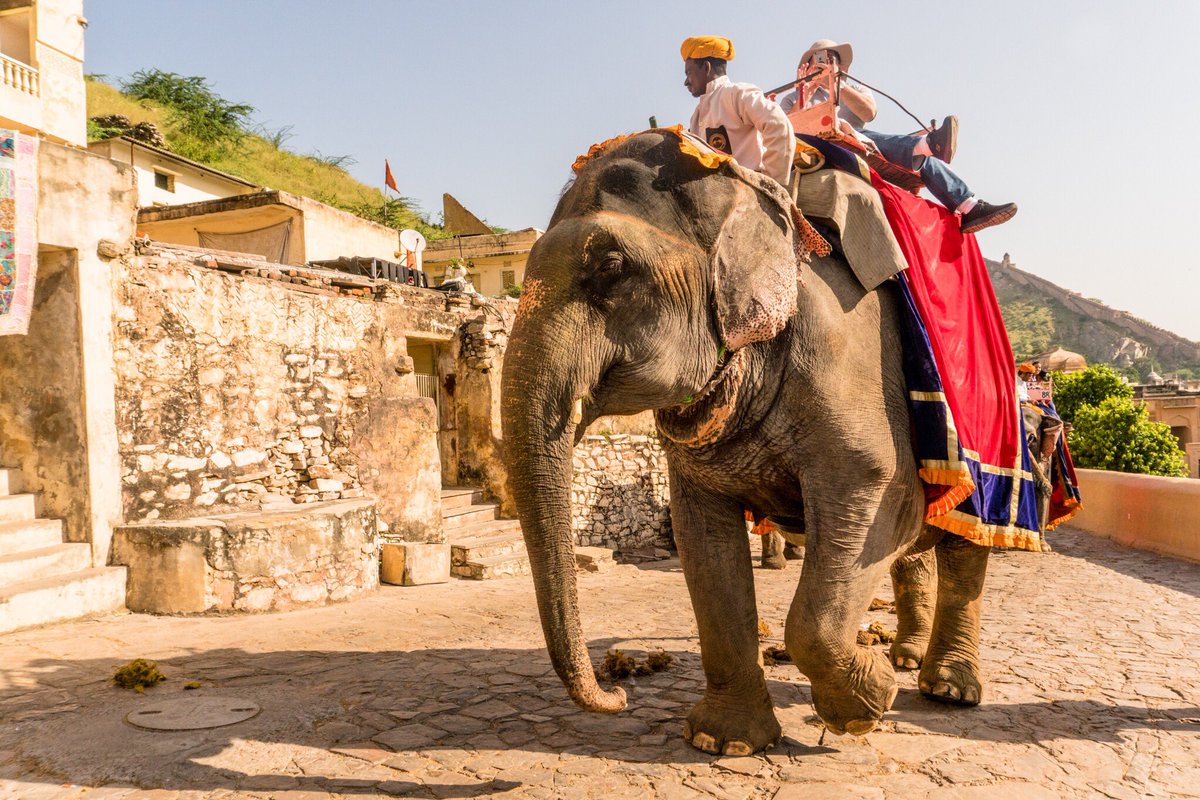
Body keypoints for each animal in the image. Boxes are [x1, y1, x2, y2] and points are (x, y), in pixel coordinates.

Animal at [500, 130, 992, 755]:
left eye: (611, 266)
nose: (618, 692)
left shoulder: (850, 363)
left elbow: (881, 500)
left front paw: (868, 704)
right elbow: (703, 539)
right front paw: (725, 742)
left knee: (965, 552)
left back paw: (945, 690)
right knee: (919, 554)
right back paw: (906, 660)